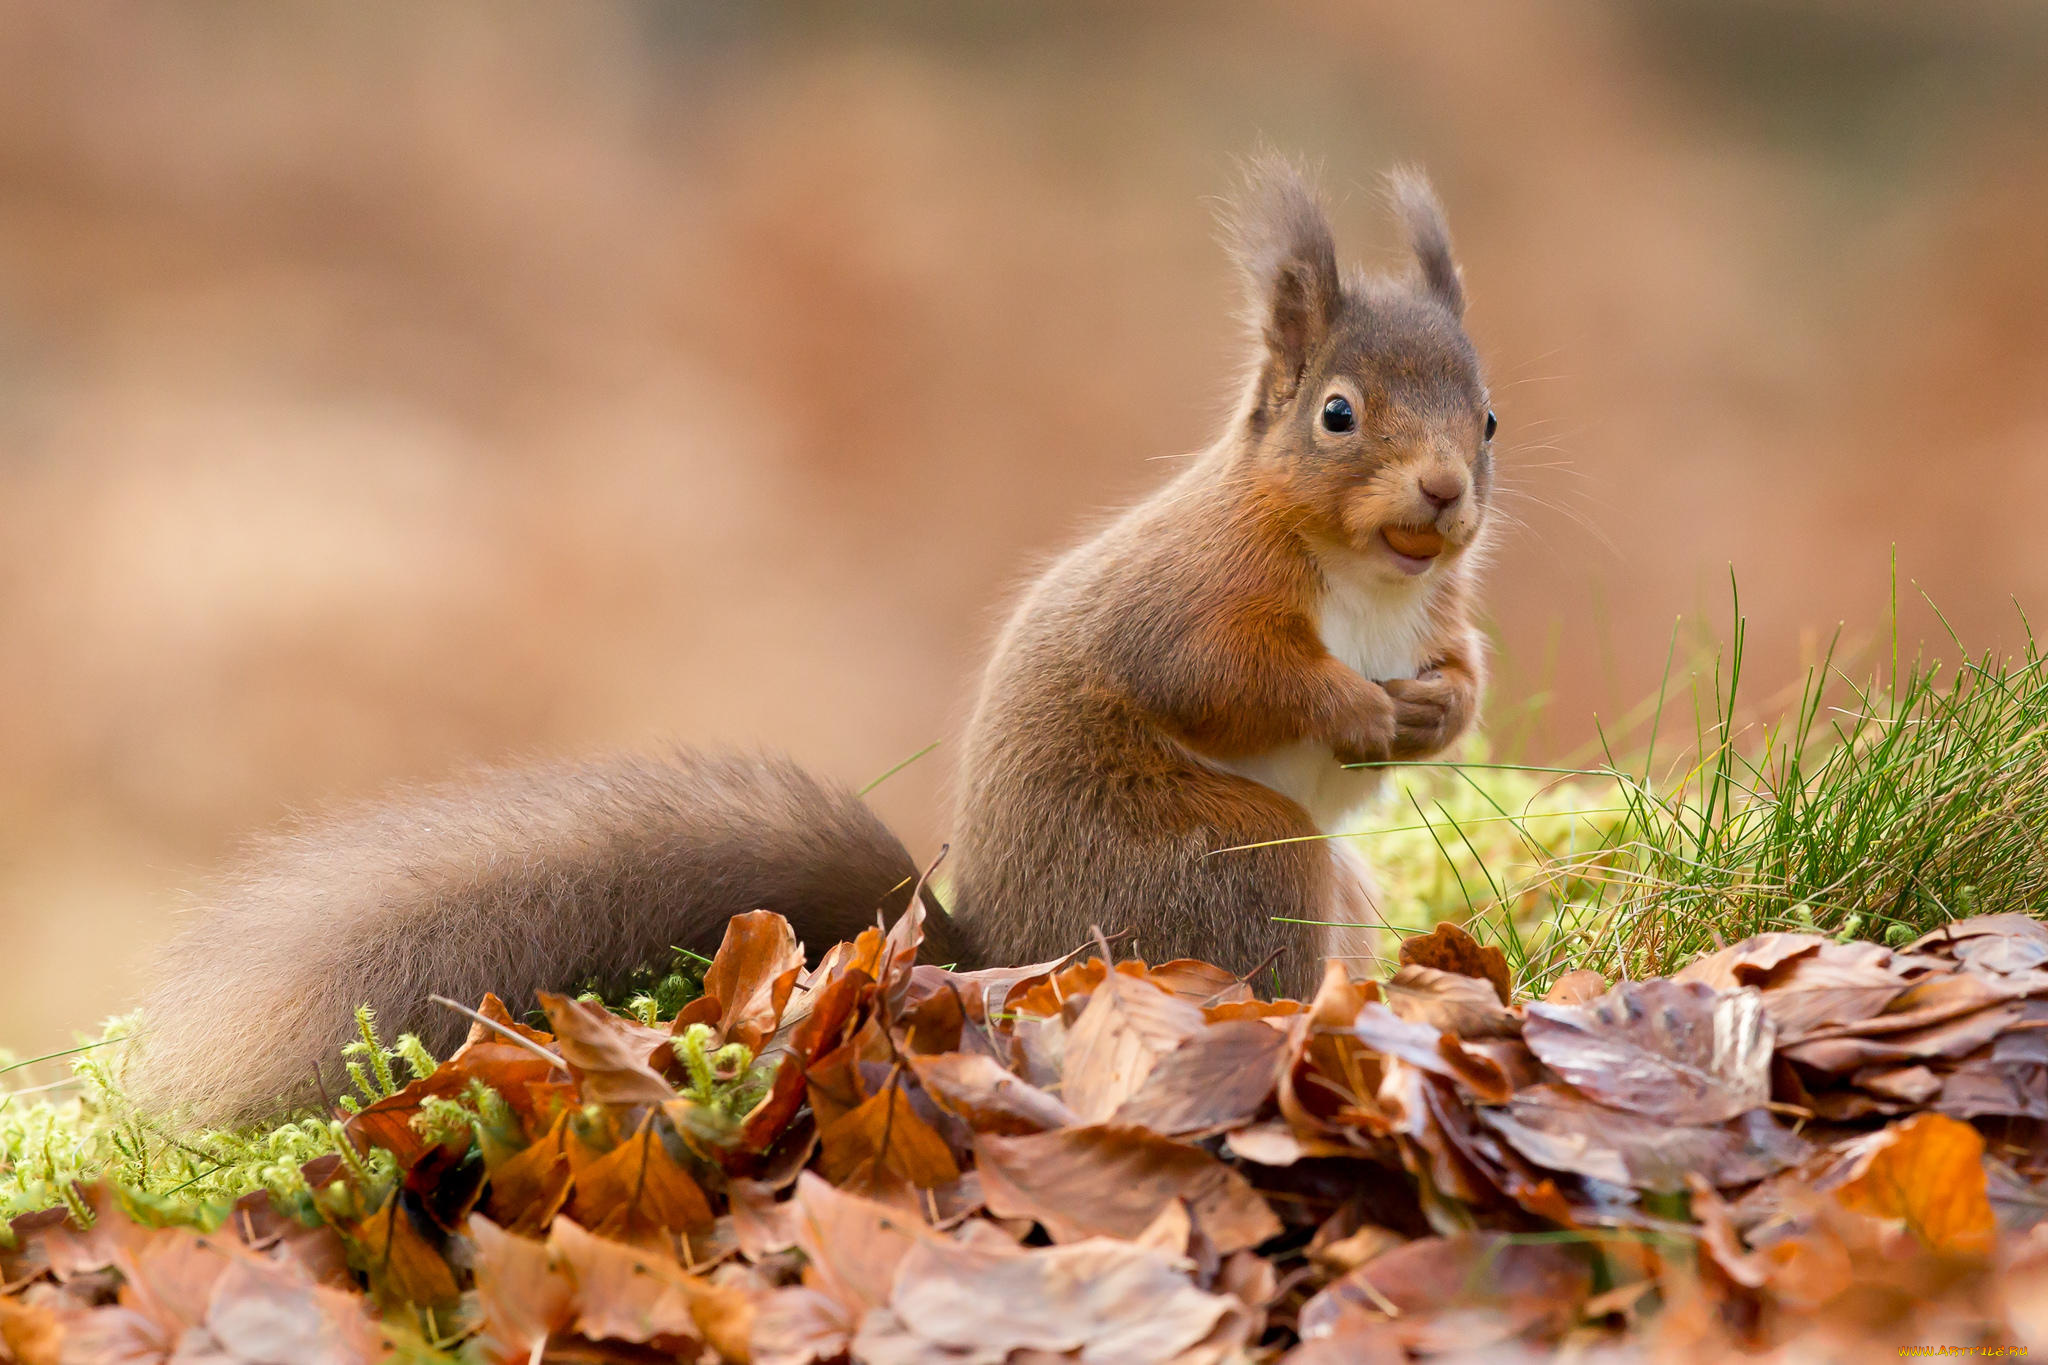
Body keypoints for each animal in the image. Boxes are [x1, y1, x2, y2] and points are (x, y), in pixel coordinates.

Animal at [132, 160, 1507, 1129]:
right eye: (1337, 415)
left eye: (1487, 417)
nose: (1444, 495)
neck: (1362, 576)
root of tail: (1000, 958)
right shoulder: (1192, 594)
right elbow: (1219, 675)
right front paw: (1356, 708)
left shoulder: (1428, 607)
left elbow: (1457, 680)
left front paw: (1438, 705)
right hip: (1221, 860)